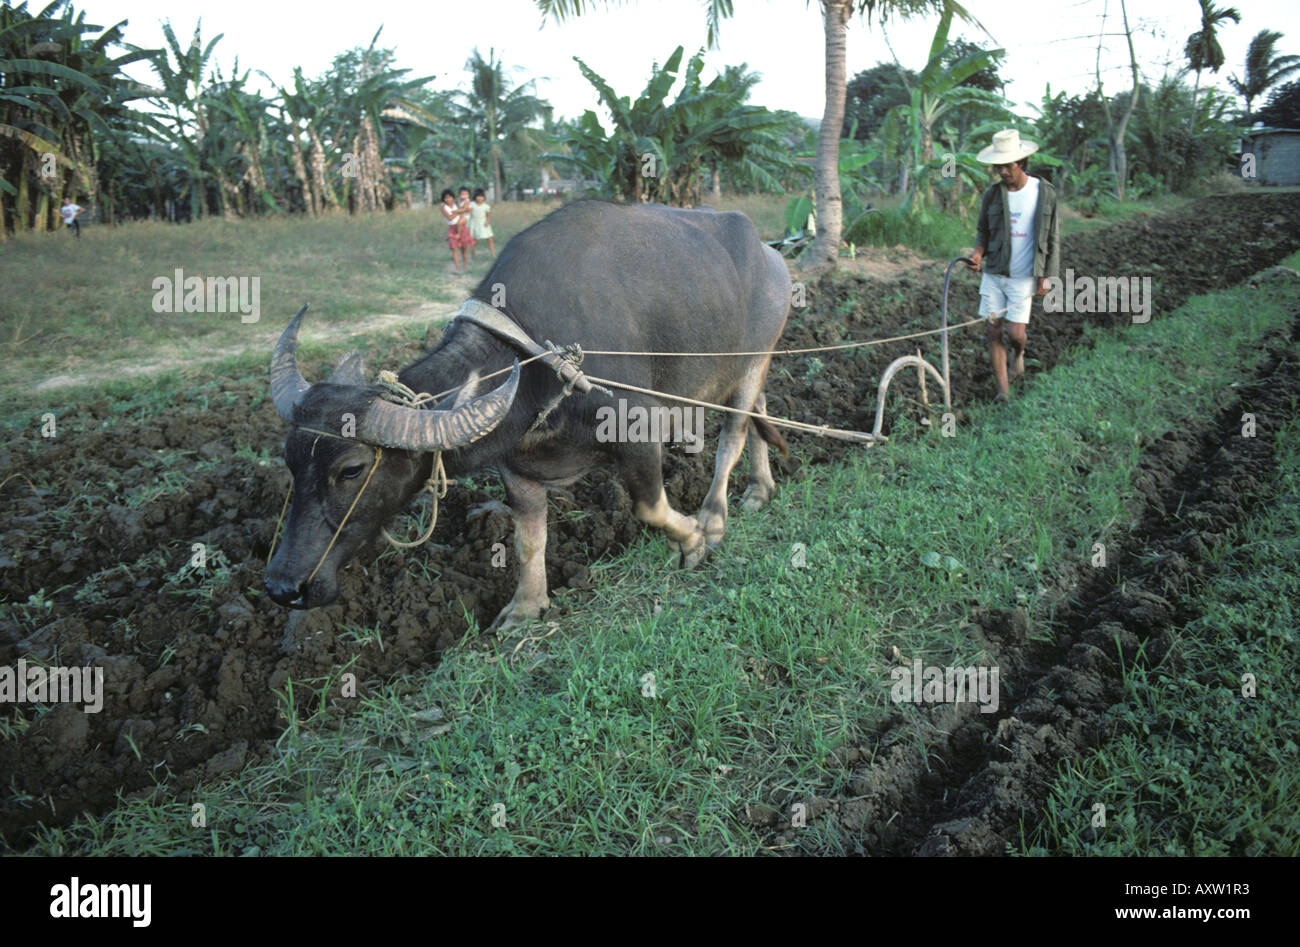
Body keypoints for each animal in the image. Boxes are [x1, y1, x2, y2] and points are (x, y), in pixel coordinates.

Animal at [265, 199, 790, 629]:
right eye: (290, 461)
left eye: (351, 469)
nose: (282, 587)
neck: (540, 357)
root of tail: (771, 255)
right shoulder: (516, 465)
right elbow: (527, 539)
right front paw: (526, 605)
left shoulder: (639, 427)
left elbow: (650, 507)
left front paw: (694, 540)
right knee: (761, 415)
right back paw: (760, 489)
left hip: (754, 358)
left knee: (733, 434)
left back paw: (716, 517)